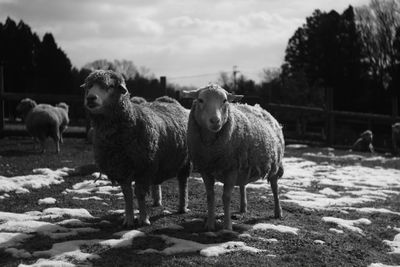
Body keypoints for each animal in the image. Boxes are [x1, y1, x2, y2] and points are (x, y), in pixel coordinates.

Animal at [81, 69, 191, 228]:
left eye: (109, 86)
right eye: (89, 86)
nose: (90, 98)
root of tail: (169, 99)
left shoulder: (144, 167)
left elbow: (139, 193)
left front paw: (143, 219)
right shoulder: (121, 169)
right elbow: (127, 195)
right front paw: (128, 219)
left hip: (185, 161)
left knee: (183, 183)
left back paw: (182, 207)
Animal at [181, 84, 284, 232]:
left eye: (225, 101)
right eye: (200, 100)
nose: (215, 121)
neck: (211, 150)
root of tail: (260, 108)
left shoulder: (231, 168)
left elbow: (226, 197)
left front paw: (227, 226)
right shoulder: (205, 169)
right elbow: (210, 196)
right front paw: (210, 225)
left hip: (275, 162)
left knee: (275, 186)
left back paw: (278, 211)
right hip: (244, 163)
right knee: (243, 184)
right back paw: (243, 208)